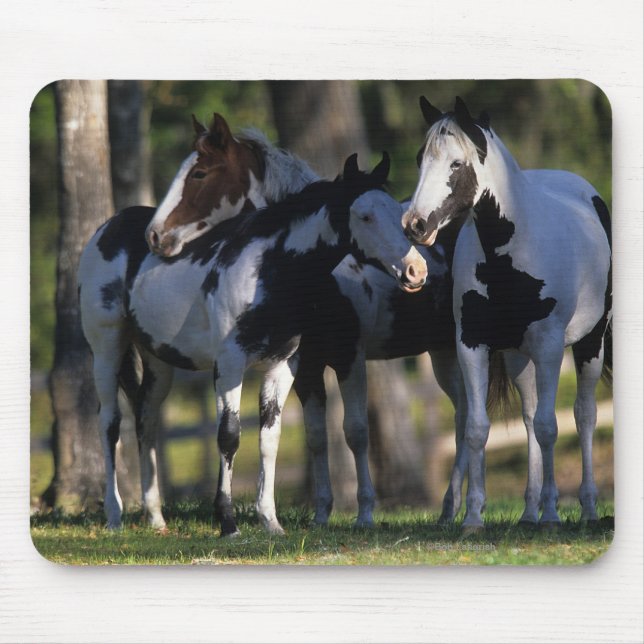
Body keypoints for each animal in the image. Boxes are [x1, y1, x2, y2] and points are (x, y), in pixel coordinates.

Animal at [80, 151, 428, 536]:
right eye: (365, 216)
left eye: (396, 213)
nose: (416, 271)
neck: (269, 270)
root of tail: (108, 228)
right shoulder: (230, 363)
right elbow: (229, 435)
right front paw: (228, 522)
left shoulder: (283, 366)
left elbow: (270, 438)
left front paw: (270, 520)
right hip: (106, 348)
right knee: (110, 423)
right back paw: (114, 516)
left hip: (158, 360)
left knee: (146, 418)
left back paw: (156, 517)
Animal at [403, 96, 612, 530]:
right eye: (419, 158)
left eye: (456, 164)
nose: (415, 225)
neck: (509, 252)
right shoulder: (471, 343)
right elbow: (477, 428)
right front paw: (472, 518)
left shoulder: (550, 346)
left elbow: (551, 427)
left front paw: (554, 514)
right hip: (519, 357)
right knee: (530, 417)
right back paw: (530, 512)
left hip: (590, 343)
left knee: (582, 416)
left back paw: (583, 508)